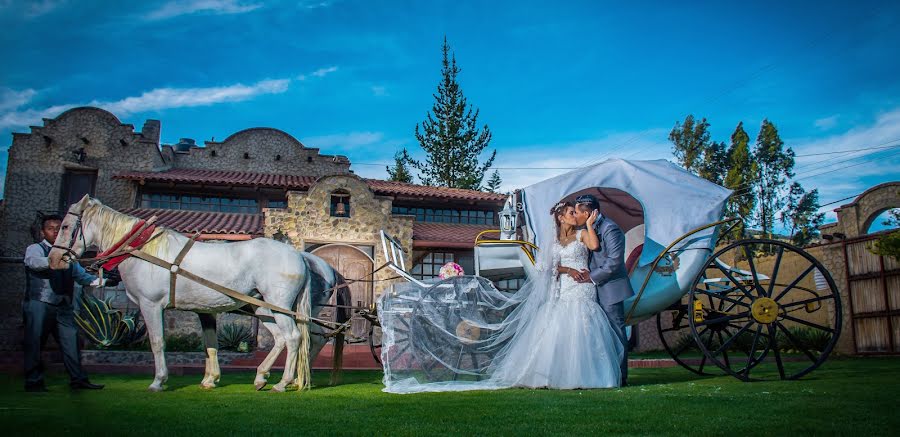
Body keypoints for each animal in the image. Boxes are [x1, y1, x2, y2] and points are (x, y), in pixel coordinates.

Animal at [50, 194, 320, 392]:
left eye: (65, 226)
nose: (54, 259)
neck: (144, 250)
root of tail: (297, 255)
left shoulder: (150, 304)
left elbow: (157, 342)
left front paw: (158, 381)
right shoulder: (202, 311)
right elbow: (209, 345)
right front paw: (209, 380)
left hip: (278, 304)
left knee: (293, 337)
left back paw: (282, 383)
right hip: (262, 306)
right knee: (281, 338)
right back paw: (262, 377)